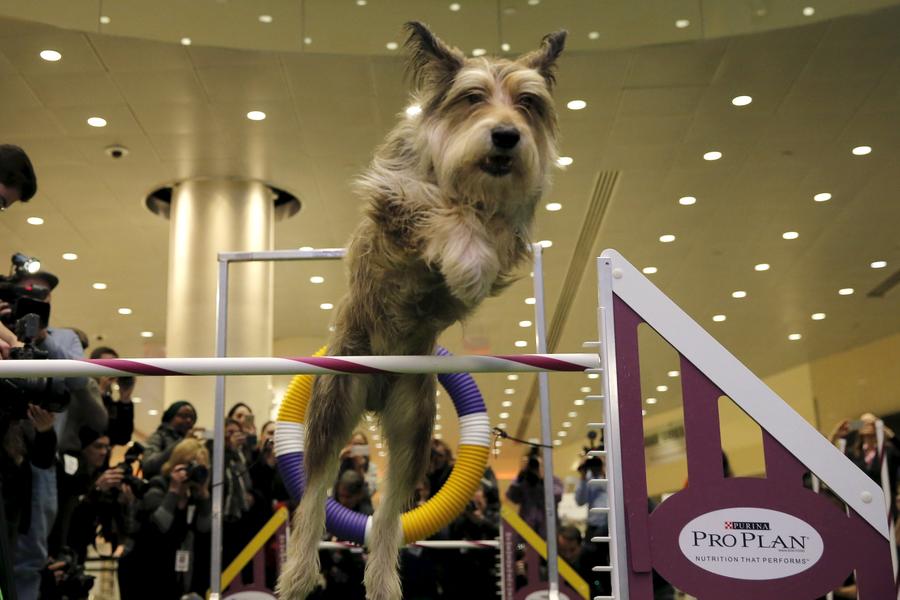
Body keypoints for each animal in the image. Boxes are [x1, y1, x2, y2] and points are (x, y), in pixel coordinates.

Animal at [278, 22, 568, 600]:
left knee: (389, 512)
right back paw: (298, 572)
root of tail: (377, 389)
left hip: (413, 430)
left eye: (527, 102)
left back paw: (383, 580)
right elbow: (436, 208)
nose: (507, 136)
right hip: (332, 409)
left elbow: (494, 229)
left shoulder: (512, 234)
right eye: (473, 97)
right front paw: (464, 254)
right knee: (315, 493)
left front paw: (473, 257)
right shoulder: (394, 201)